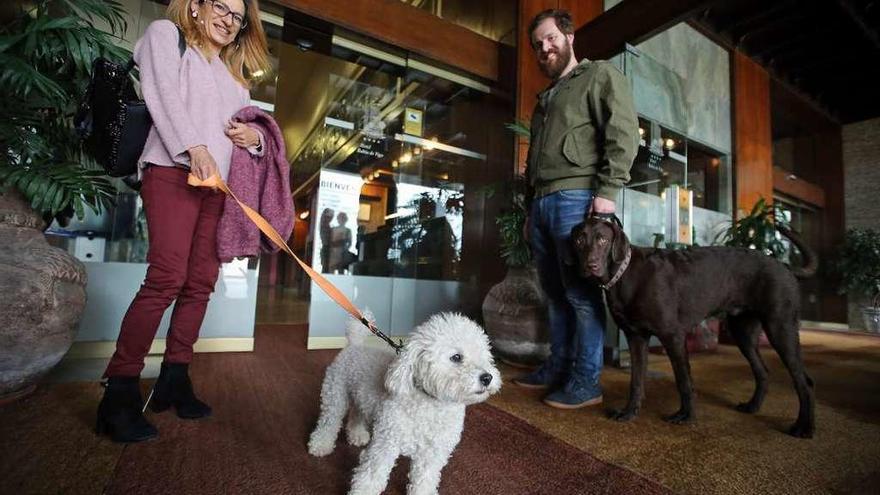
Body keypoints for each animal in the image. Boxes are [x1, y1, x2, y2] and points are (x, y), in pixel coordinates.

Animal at [310, 314, 502, 495]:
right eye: (456, 357)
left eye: (486, 356)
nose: (487, 377)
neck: (432, 405)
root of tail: (355, 344)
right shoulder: (385, 444)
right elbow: (372, 475)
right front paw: (361, 491)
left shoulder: (432, 455)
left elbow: (425, 480)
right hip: (335, 395)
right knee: (329, 422)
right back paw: (320, 445)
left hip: (359, 397)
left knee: (357, 412)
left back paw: (357, 434)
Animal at [572, 217, 820, 438]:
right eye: (579, 240)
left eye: (603, 240)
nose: (590, 265)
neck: (625, 274)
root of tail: (784, 265)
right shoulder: (636, 338)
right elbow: (636, 381)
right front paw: (629, 412)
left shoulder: (673, 336)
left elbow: (684, 380)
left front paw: (686, 416)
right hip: (744, 334)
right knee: (763, 372)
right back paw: (753, 407)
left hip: (781, 329)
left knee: (804, 382)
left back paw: (804, 427)